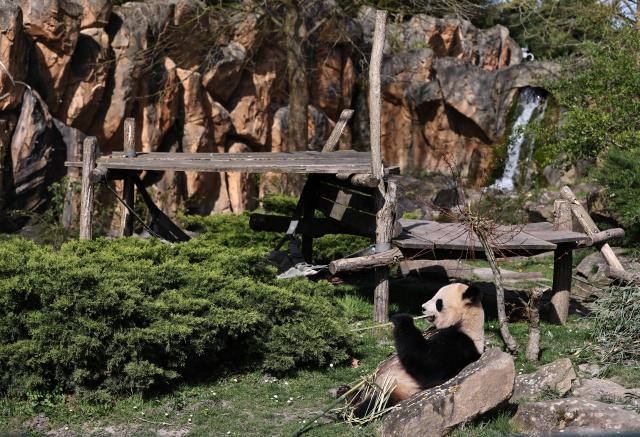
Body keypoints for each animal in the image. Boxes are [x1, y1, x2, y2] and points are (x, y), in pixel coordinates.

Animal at [351, 282, 485, 416]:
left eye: (439, 302)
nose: (423, 308)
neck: (464, 319)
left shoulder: (460, 343)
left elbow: (427, 365)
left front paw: (402, 319)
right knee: (359, 393)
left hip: (395, 389)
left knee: (374, 404)